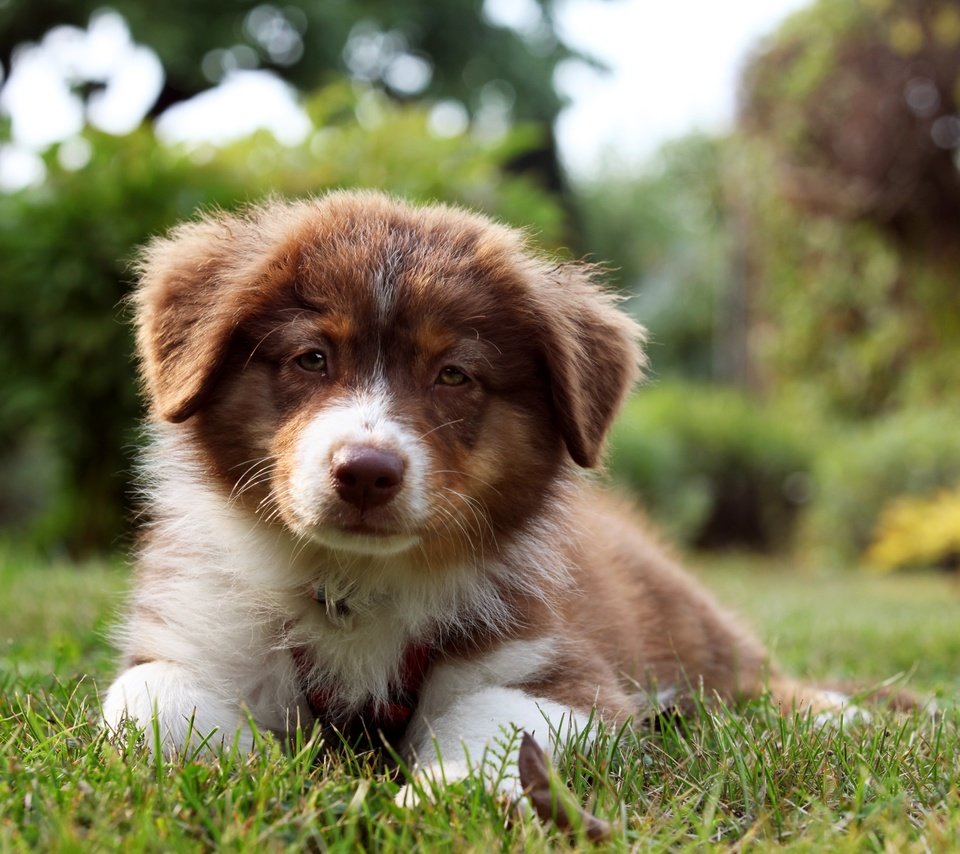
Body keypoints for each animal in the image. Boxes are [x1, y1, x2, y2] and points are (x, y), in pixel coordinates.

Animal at [105, 192, 820, 804]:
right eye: (312, 358)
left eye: (453, 374)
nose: (365, 472)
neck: (354, 587)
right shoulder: (199, 627)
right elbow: (146, 695)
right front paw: (256, 767)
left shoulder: (559, 667)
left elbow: (492, 716)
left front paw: (445, 792)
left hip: (681, 616)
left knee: (754, 680)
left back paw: (834, 715)